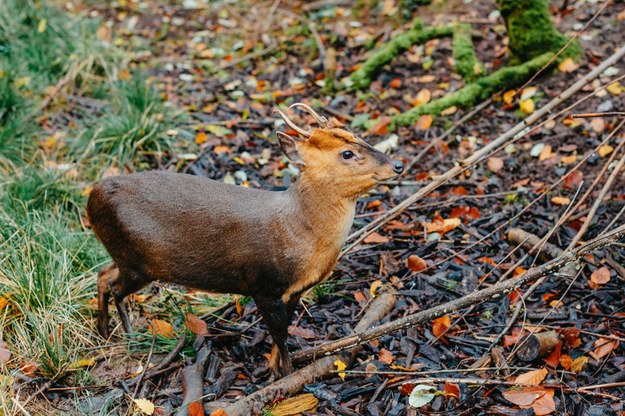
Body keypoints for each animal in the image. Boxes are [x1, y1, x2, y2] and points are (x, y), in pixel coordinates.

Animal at [89, 104, 404, 376]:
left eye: (358, 136)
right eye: (347, 153)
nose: (398, 165)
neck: (299, 232)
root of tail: (92, 196)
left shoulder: (294, 290)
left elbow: (281, 331)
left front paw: (274, 367)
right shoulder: (263, 284)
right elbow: (280, 332)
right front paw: (286, 375)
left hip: (125, 257)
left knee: (103, 274)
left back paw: (105, 331)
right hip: (137, 261)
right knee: (115, 287)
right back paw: (129, 335)